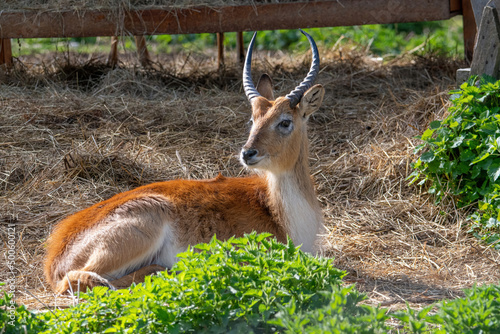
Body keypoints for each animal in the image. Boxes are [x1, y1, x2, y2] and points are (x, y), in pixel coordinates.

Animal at [43, 30, 324, 294]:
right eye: (252, 120)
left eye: (285, 121)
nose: (248, 153)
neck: (279, 211)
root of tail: (56, 254)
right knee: (82, 280)